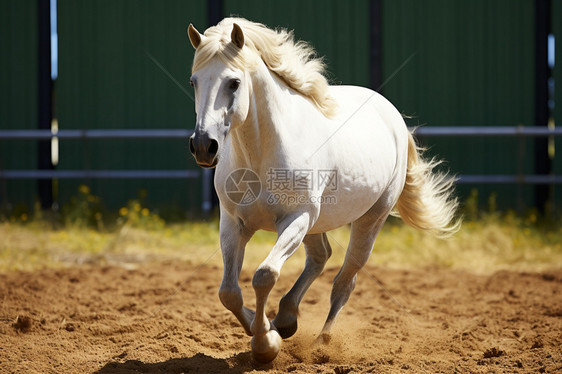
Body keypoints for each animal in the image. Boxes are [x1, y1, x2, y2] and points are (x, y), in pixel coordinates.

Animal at [186, 17, 458, 362]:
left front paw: (265, 343)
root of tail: (393, 117)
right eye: (194, 81)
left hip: (368, 220)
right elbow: (229, 292)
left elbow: (264, 275)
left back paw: (323, 342)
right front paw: (267, 331)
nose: (203, 146)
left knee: (345, 280)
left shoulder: (296, 218)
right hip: (316, 224)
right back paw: (286, 318)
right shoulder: (234, 223)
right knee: (321, 257)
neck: (260, 153)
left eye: (233, 82)